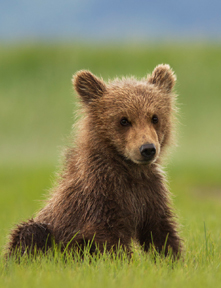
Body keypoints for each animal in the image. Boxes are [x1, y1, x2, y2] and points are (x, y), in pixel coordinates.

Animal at [7, 64, 183, 258]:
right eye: (123, 120)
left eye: (155, 117)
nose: (147, 149)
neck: (129, 170)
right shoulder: (99, 195)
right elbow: (109, 237)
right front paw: (123, 260)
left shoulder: (150, 193)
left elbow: (160, 232)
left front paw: (172, 258)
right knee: (31, 232)